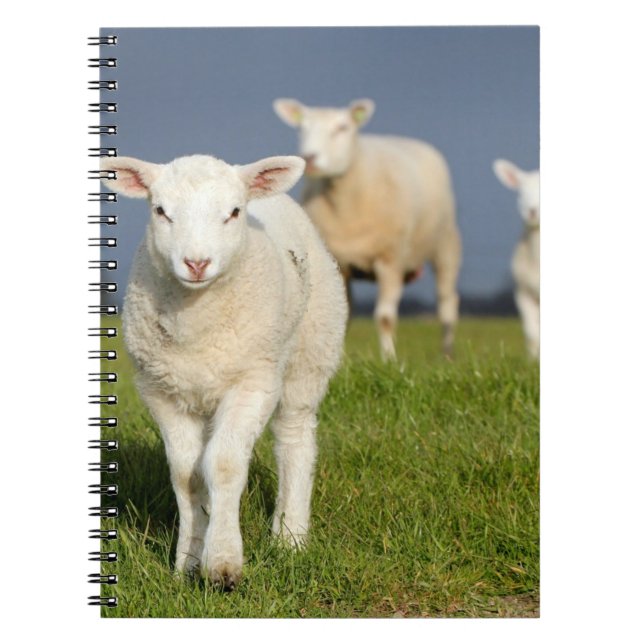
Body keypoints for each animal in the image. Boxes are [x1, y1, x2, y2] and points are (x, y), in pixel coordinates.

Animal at [100, 153, 348, 589]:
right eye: (160, 210)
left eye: (233, 212)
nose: (196, 263)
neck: (197, 323)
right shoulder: (162, 391)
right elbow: (187, 475)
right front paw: (187, 562)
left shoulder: (253, 383)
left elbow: (224, 465)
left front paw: (223, 564)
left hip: (311, 351)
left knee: (295, 438)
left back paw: (290, 536)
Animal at [273, 98, 462, 360]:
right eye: (302, 128)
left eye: (342, 128)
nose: (310, 158)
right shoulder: (340, 265)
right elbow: (344, 315)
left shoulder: (390, 261)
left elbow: (385, 318)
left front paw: (389, 359)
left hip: (445, 246)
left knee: (447, 303)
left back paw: (447, 354)